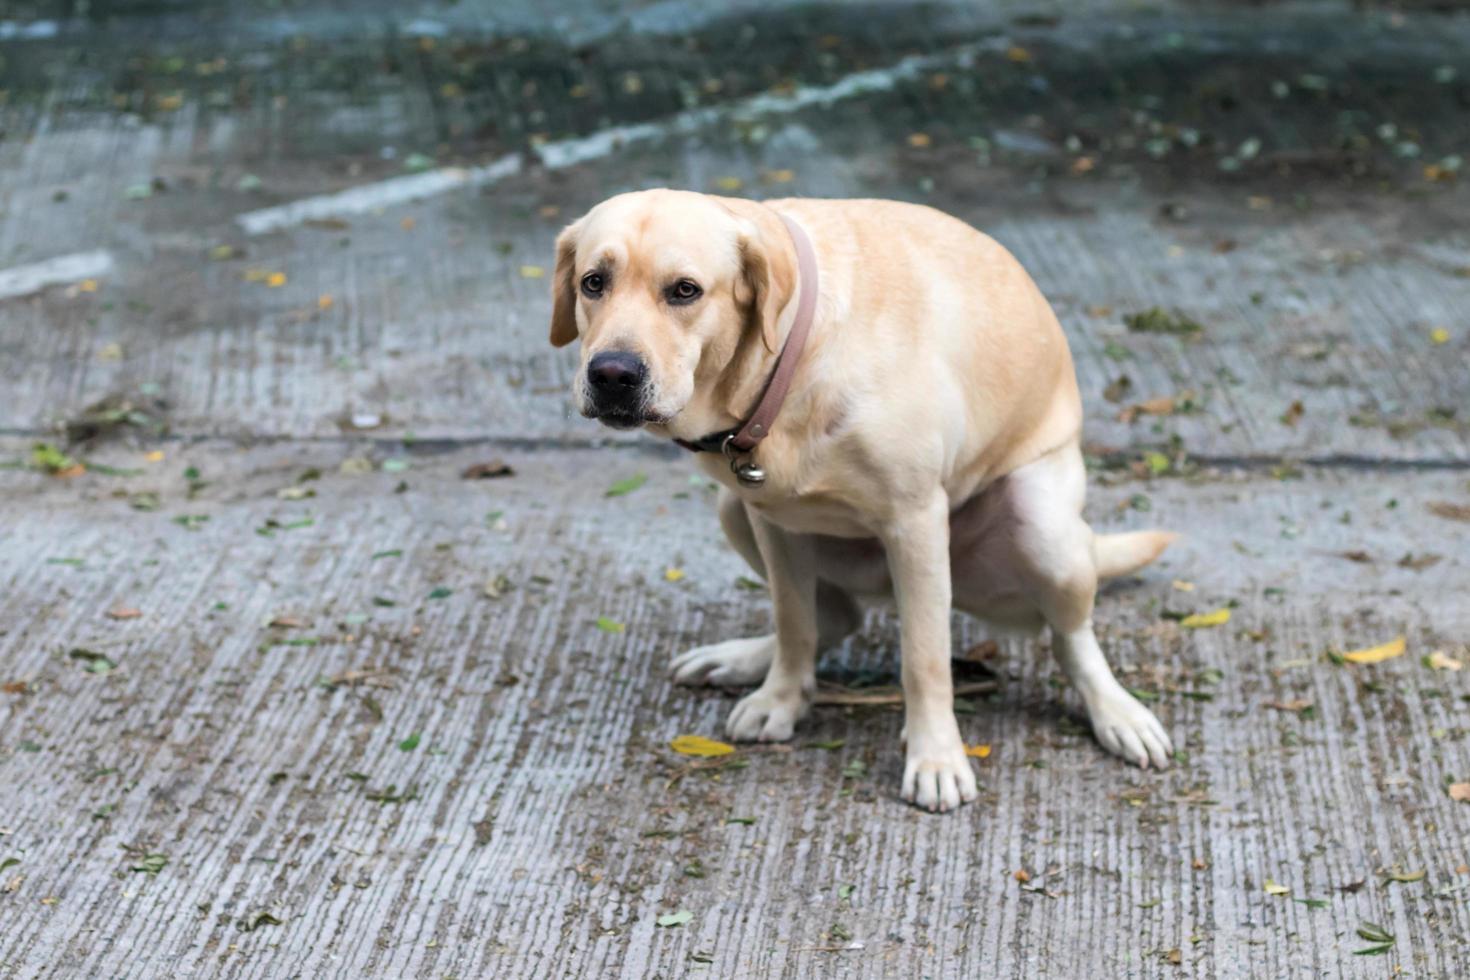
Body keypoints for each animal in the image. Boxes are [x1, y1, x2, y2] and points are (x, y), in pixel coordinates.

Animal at [546, 189, 1176, 811]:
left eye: (685, 290)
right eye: (593, 282)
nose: (612, 374)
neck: (790, 360)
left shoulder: (916, 524)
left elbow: (925, 659)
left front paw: (936, 756)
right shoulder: (774, 521)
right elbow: (794, 622)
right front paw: (782, 698)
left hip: (1046, 532)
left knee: (1071, 637)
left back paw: (1115, 710)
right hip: (732, 512)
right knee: (835, 616)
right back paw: (745, 656)